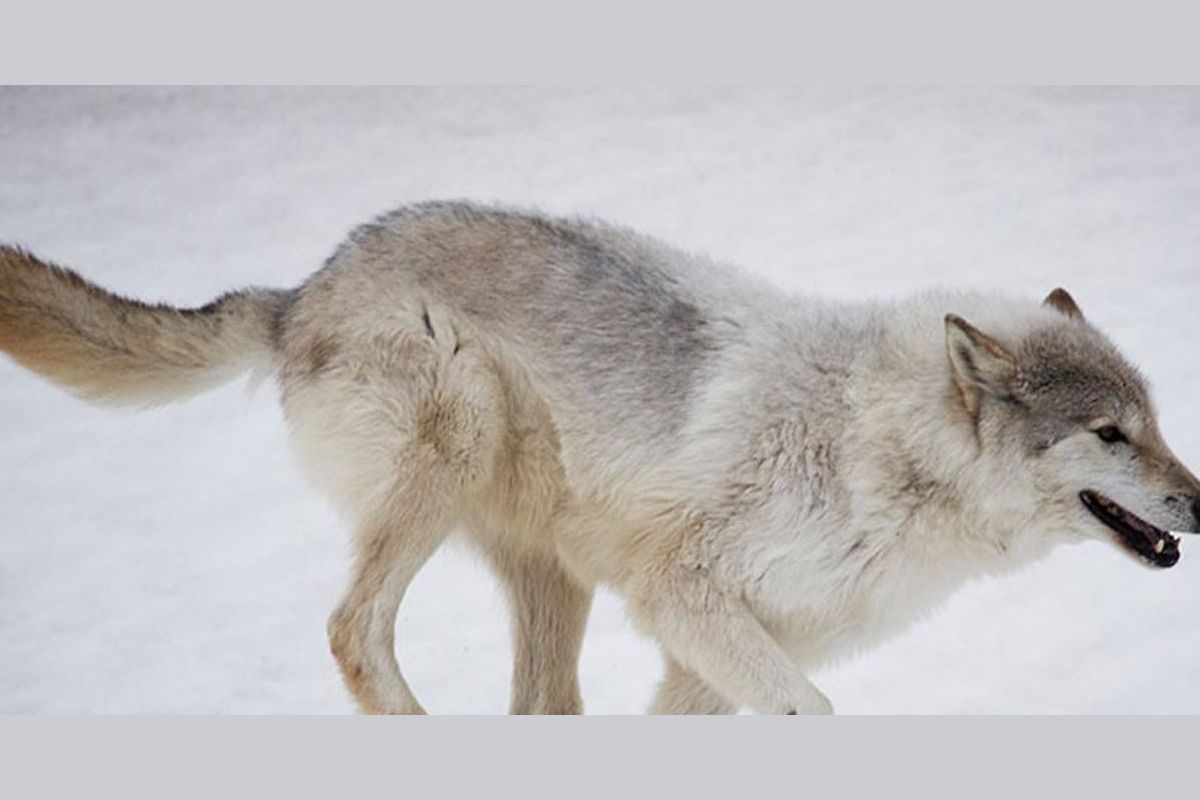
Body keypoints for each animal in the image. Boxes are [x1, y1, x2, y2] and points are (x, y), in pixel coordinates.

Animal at [2, 201, 1200, 714]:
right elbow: (812, 710)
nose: (1199, 500)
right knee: (352, 630)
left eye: (1155, 420)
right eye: (1109, 434)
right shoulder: (686, 598)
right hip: (459, 440)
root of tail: (303, 287)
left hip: (555, 577)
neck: (879, 451)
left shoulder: (702, 656)